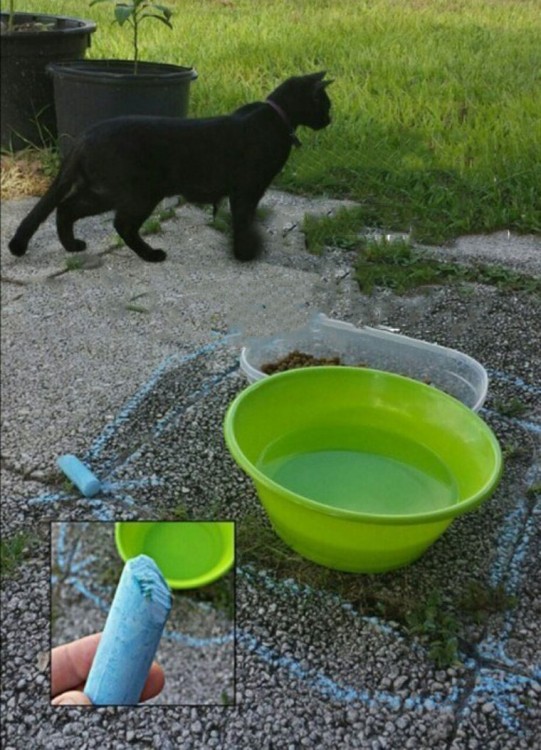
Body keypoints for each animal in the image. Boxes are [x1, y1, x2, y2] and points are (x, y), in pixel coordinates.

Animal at [8, 71, 332, 264]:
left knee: (67, 208)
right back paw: (151, 255)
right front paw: (245, 253)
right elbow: (243, 220)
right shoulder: (247, 190)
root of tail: (86, 135)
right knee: (118, 223)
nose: (330, 120)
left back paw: (72, 246)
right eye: (326, 104)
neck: (277, 117)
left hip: (107, 190)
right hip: (135, 192)